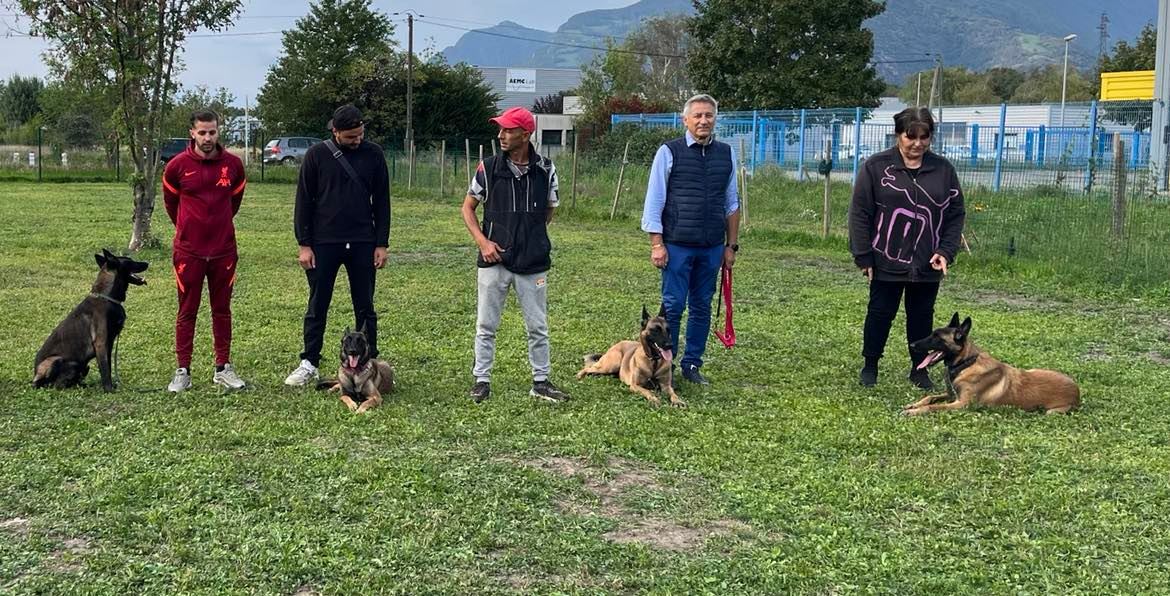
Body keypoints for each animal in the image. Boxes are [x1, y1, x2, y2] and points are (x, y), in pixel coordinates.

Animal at [898, 313, 1081, 416]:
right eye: (932, 334)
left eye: (937, 338)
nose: (912, 344)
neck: (966, 363)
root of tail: (1077, 392)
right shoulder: (952, 396)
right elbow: (930, 397)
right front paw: (914, 404)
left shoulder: (961, 404)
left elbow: (934, 407)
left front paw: (913, 411)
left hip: (1051, 412)